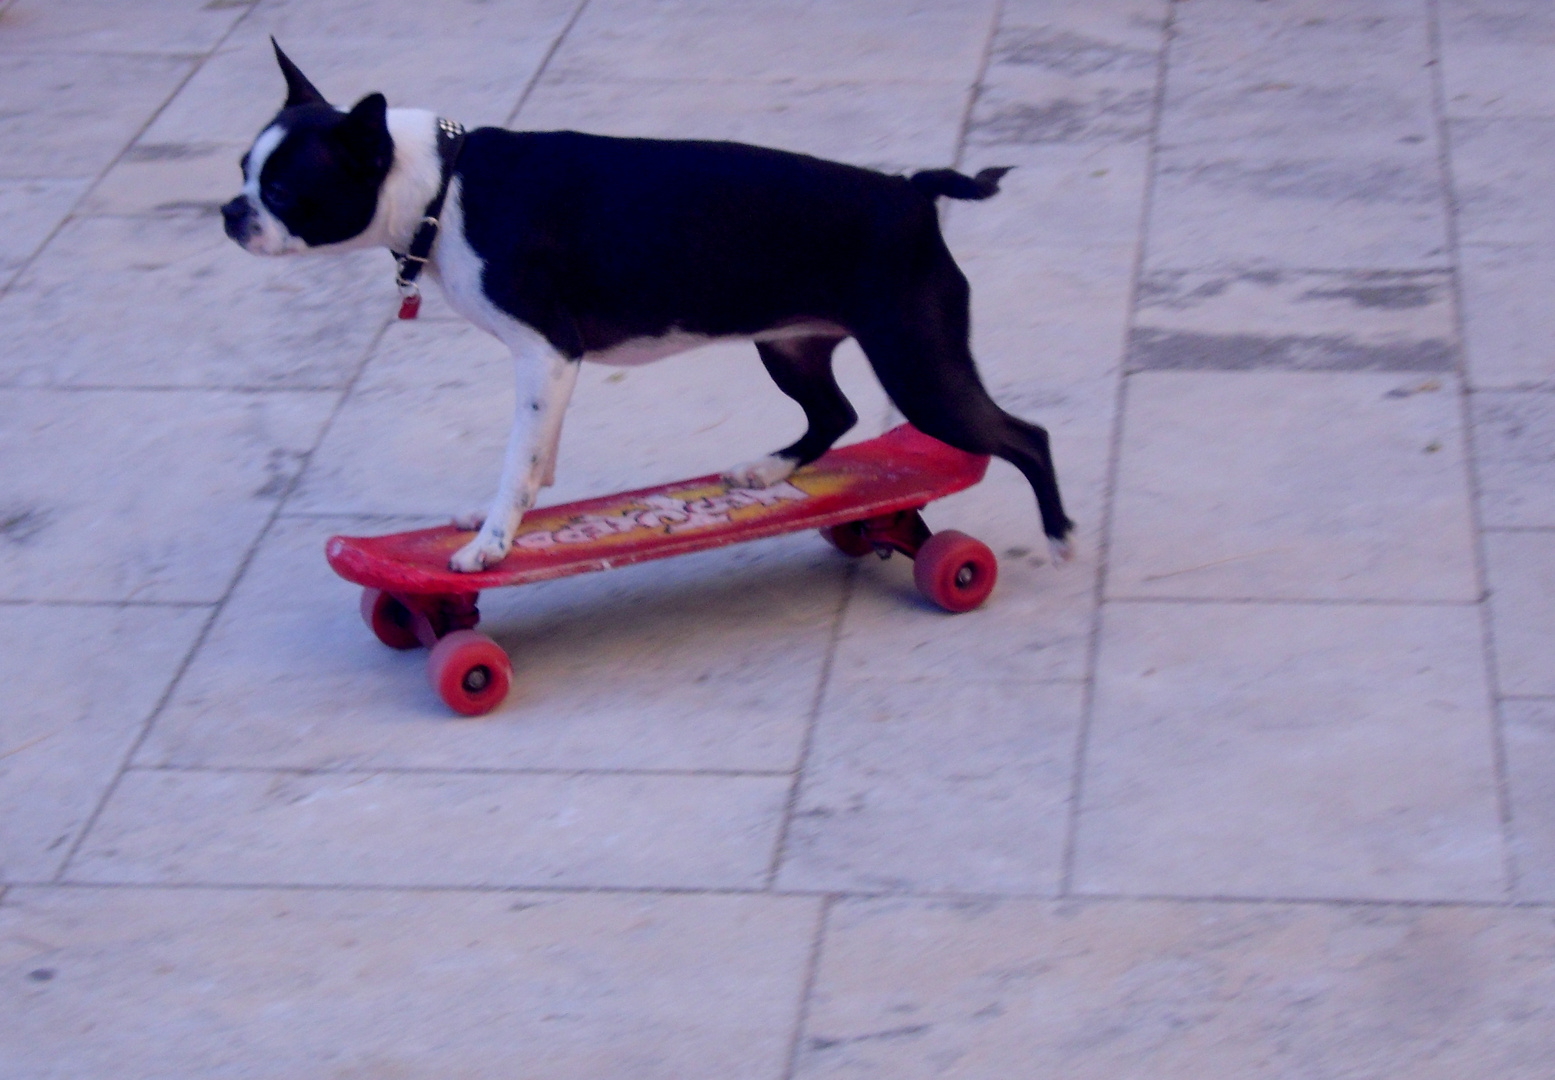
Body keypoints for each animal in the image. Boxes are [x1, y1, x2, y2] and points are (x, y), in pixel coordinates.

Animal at [222, 44, 1069, 574]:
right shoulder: (552, 366)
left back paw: (1059, 534)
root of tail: (910, 191)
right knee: (835, 412)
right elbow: (538, 452)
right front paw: (515, 519)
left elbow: (517, 457)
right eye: (240, 170)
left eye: (284, 192)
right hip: (789, 346)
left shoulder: (546, 351)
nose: (230, 212)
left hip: (918, 365)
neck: (440, 187)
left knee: (1023, 435)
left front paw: (493, 544)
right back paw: (768, 469)